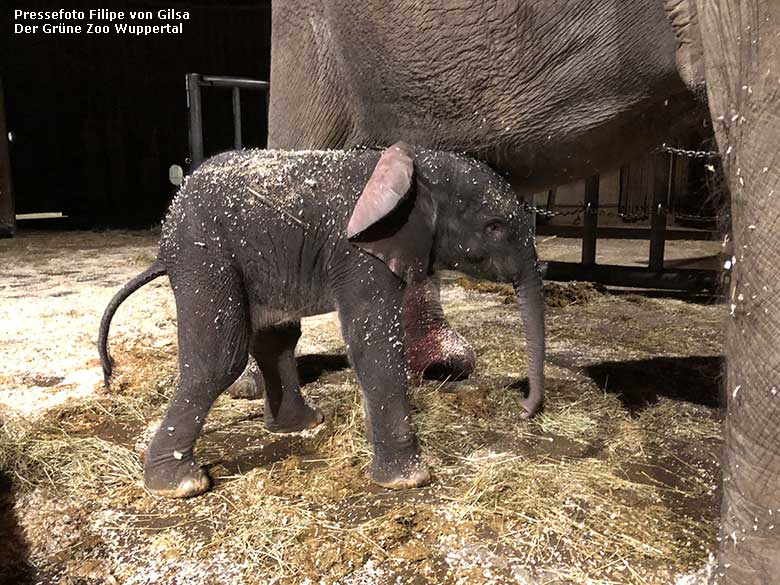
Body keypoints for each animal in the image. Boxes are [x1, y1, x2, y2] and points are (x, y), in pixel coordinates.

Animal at [99, 143, 544, 498]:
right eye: (495, 227)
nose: (523, 408)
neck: (415, 163)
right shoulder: (359, 254)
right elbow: (373, 345)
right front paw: (410, 481)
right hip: (204, 257)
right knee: (219, 359)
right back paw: (181, 486)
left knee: (276, 339)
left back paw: (302, 424)